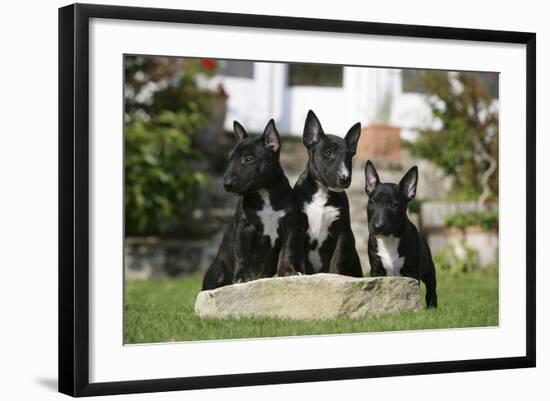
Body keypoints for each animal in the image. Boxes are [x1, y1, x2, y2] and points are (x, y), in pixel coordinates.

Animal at [203, 120, 304, 290]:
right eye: (230, 160)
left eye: (249, 159)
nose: (226, 184)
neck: (264, 192)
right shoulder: (244, 229)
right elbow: (242, 256)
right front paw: (241, 278)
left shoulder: (290, 226)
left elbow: (287, 251)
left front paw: (288, 272)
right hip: (216, 274)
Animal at [296, 111, 364, 276]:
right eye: (328, 153)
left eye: (349, 157)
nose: (345, 178)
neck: (322, 192)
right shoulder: (299, 228)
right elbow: (300, 256)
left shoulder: (342, 232)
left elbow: (337, 259)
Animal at [366, 160, 440, 306]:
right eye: (372, 202)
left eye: (394, 205)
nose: (377, 226)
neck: (389, 239)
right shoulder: (376, 270)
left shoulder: (411, 273)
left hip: (429, 270)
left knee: (431, 289)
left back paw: (431, 306)